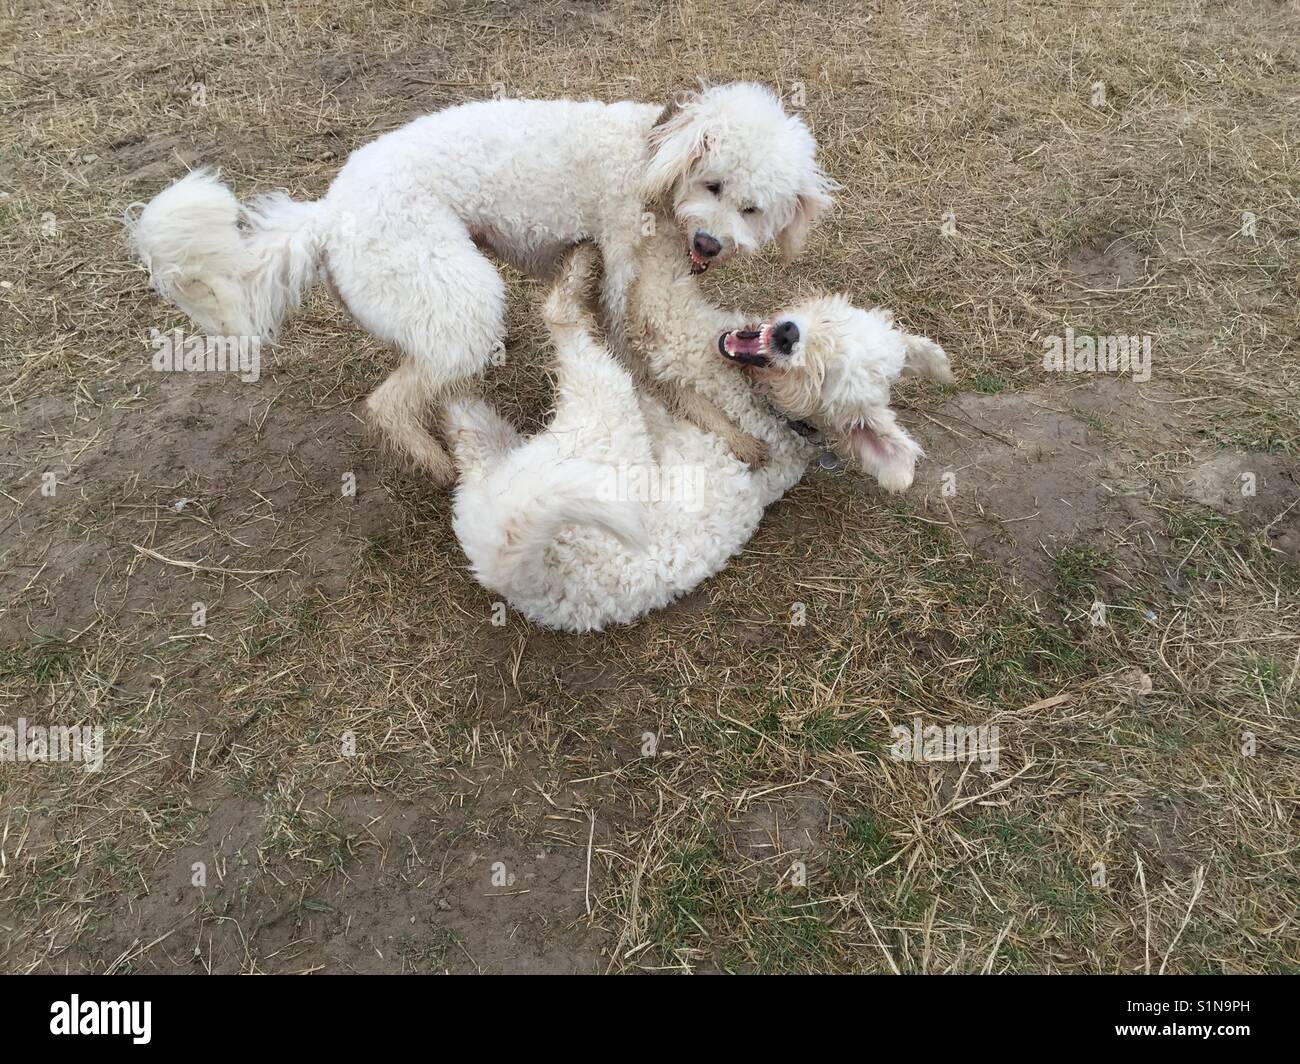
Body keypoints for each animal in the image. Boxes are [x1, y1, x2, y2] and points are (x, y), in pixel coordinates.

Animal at [124, 82, 832, 481]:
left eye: (752, 208)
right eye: (711, 184)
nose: (709, 244)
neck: (653, 152)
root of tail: (328, 216)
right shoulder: (623, 273)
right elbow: (654, 365)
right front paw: (734, 435)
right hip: (457, 292)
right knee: (389, 403)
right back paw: (439, 465)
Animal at [441, 221, 951, 629]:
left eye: (820, 376)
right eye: (829, 323)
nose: (788, 335)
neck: (776, 414)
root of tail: (523, 573)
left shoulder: (672, 328)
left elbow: (660, 272)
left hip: (602, 409)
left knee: (562, 319)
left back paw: (576, 270)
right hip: (501, 475)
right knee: (465, 430)